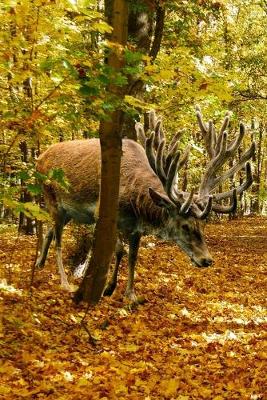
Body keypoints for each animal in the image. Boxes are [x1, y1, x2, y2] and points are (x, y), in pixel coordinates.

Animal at [35, 108, 255, 302]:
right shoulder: (102, 213)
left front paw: (131, 294)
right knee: (58, 240)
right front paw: (109, 288)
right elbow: (119, 251)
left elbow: (133, 257)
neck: (136, 203)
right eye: (185, 226)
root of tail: (39, 158)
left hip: (67, 213)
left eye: (203, 225)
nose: (207, 260)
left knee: (49, 230)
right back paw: (64, 282)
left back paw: (39, 263)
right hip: (51, 197)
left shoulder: (136, 227)